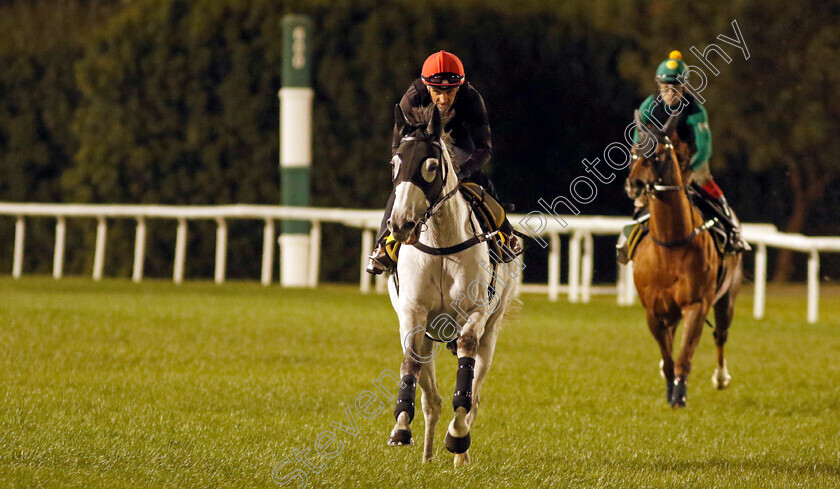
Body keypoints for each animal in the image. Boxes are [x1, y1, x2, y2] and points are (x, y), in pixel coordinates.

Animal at [624, 112, 740, 406]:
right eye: (634, 151)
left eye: (659, 154)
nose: (635, 185)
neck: (671, 246)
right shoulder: (653, 311)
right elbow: (667, 358)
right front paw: (669, 387)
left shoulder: (696, 304)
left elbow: (685, 355)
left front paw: (679, 394)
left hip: (727, 296)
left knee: (720, 334)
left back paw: (720, 377)